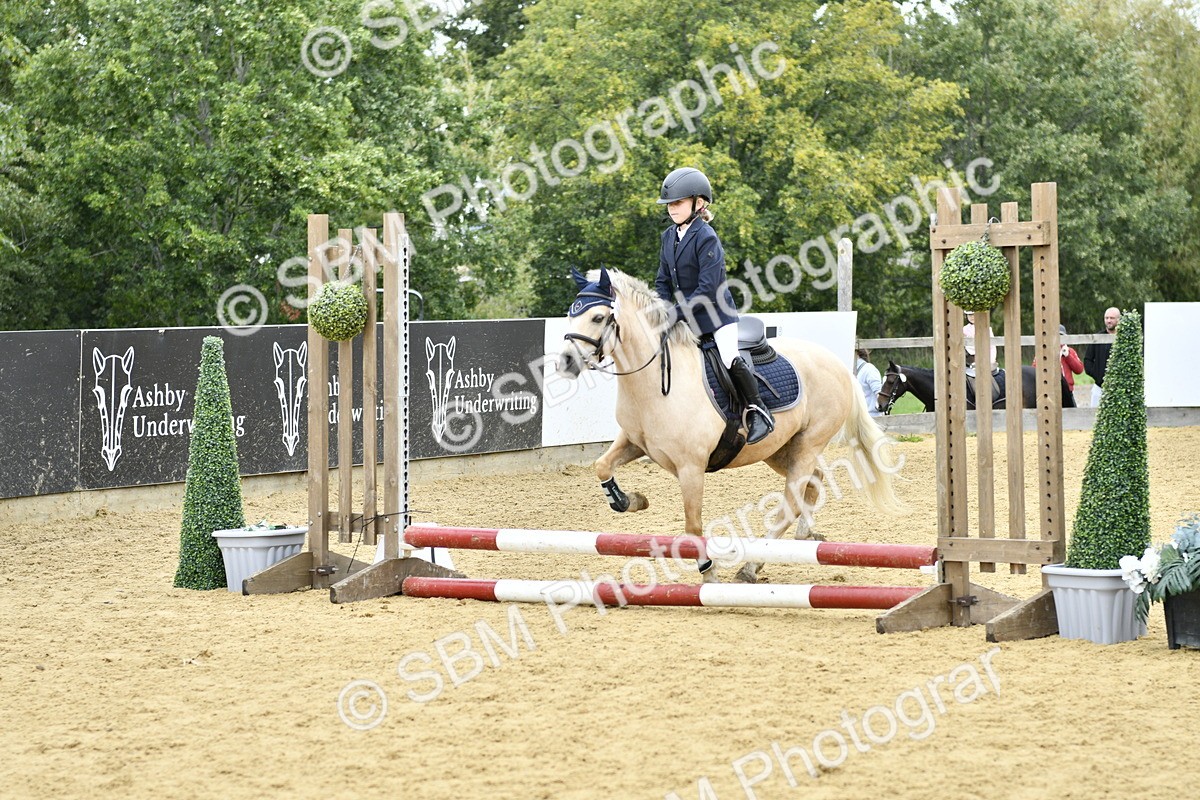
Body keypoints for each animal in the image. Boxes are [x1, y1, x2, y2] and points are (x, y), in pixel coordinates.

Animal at [557, 268, 905, 583]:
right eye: (570, 315)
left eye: (598, 317)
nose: (566, 362)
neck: (653, 383)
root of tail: (836, 363)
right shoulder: (634, 442)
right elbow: (602, 466)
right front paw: (632, 500)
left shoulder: (691, 468)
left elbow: (693, 526)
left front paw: (708, 573)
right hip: (779, 449)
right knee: (814, 480)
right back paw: (803, 536)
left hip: (807, 444)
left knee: (790, 502)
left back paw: (751, 567)